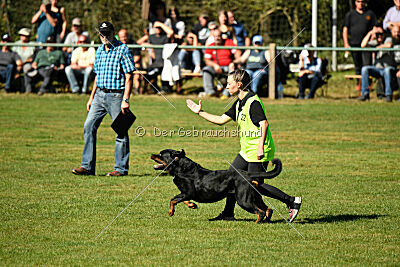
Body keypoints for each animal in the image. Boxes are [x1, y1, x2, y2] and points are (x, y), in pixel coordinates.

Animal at [149, 150, 282, 223]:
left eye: (160, 154)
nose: (151, 154)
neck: (181, 168)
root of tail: (247, 174)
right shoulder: (186, 194)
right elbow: (182, 200)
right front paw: (192, 205)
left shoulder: (188, 192)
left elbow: (173, 200)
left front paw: (171, 212)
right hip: (255, 197)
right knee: (268, 210)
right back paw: (266, 221)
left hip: (243, 200)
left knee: (260, 212)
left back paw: (257, 223)